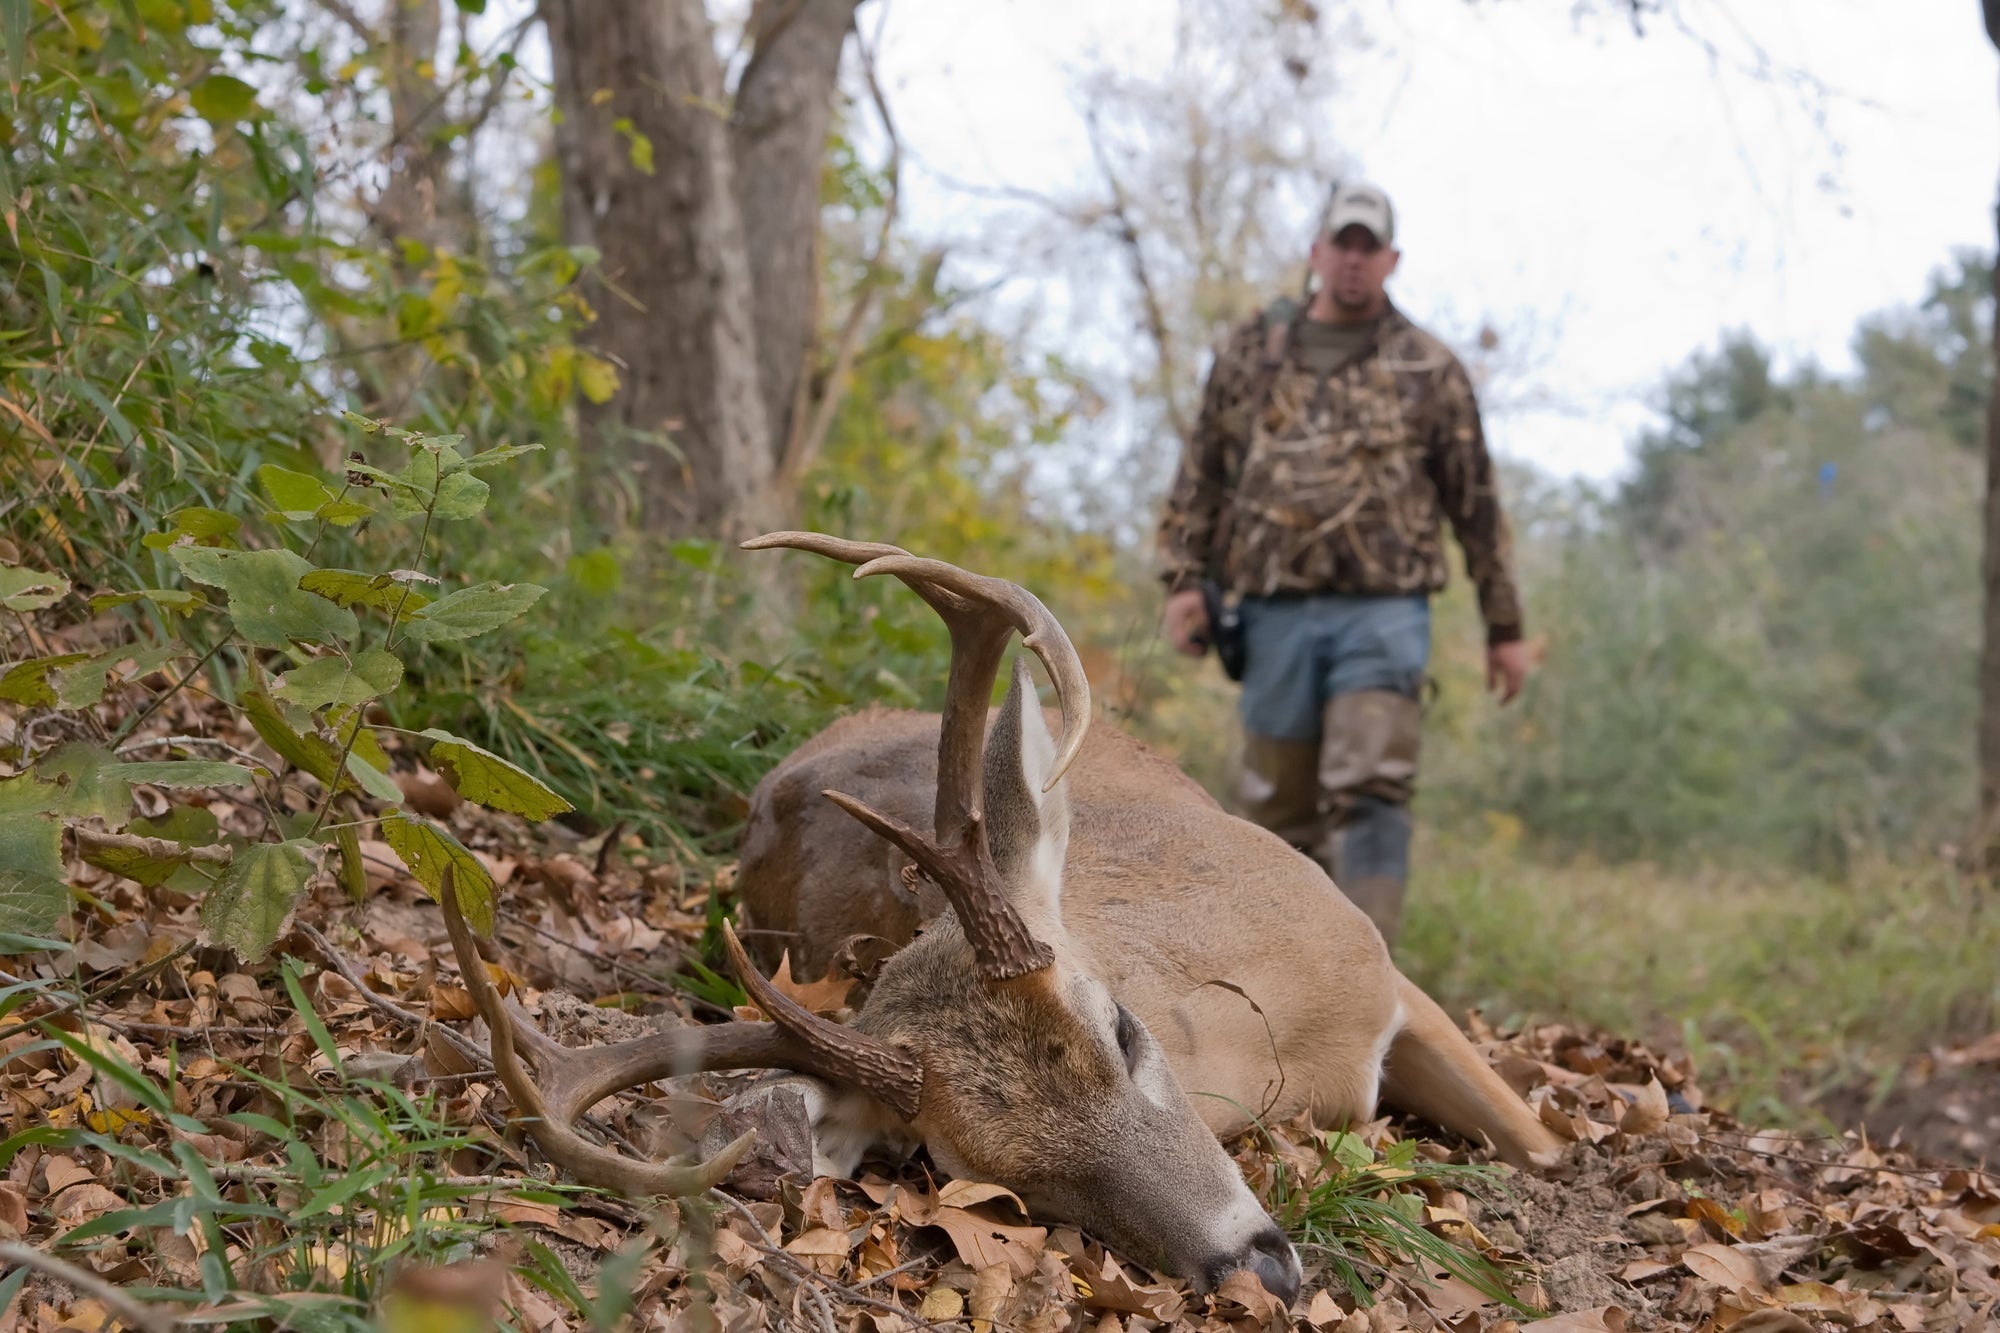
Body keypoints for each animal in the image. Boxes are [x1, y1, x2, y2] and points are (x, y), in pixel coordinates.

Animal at [439, 532, 1560, 1306]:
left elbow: (1539, 1147)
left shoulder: (1384, 969)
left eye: (1121, 1030)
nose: (1259, 1268)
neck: (1285, 1049)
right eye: (1012, 1182)